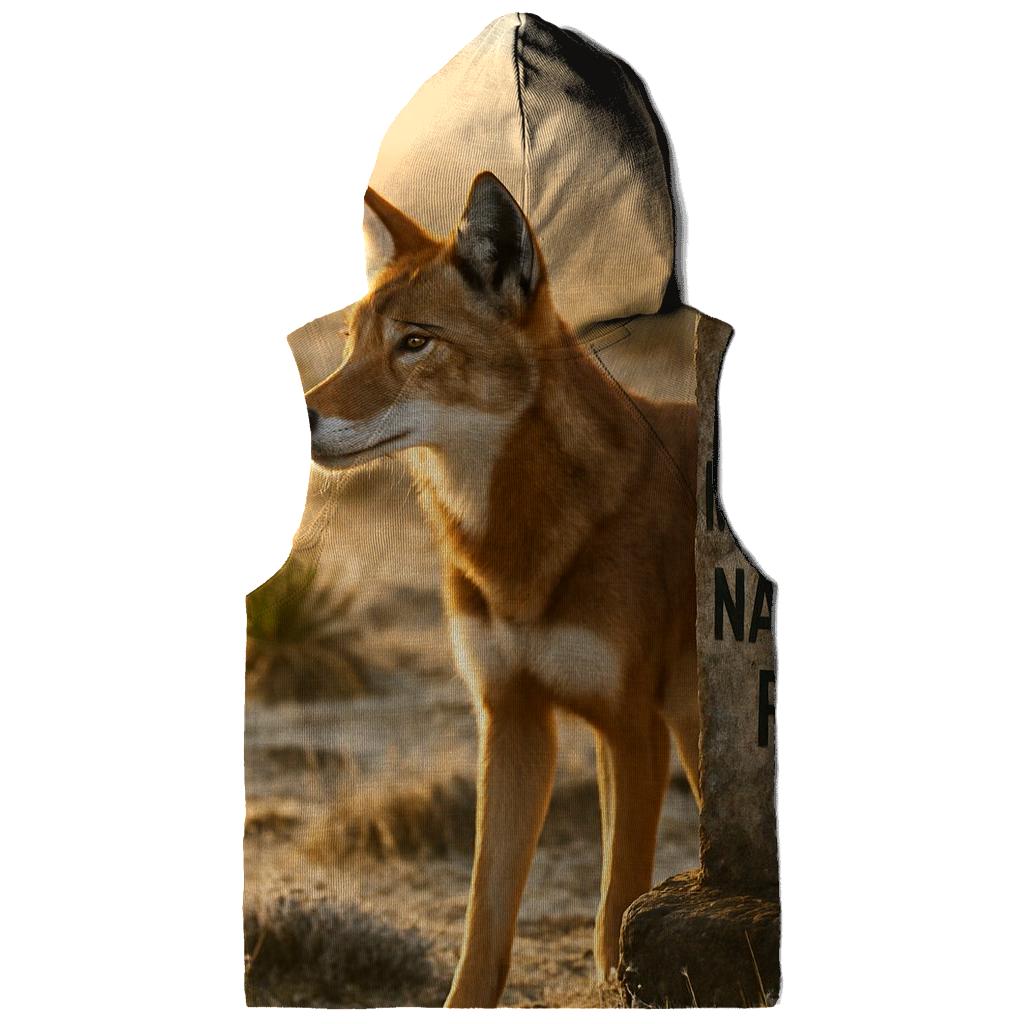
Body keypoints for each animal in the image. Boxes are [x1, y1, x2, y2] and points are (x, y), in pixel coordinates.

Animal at [305, 172, 699, 1007]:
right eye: (352, 342)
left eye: (415, 341)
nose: (303, 416)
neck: (515, 541)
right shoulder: (514, 721)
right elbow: (483, 927)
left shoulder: (631, 729)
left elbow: (616, 914)